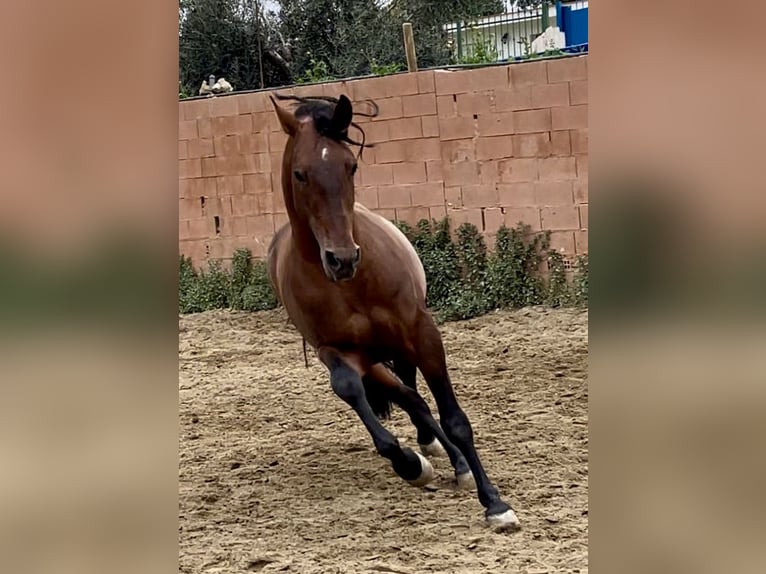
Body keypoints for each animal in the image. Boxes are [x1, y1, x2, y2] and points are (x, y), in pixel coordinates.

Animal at [266, 92, 519, 531]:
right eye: (300, 174)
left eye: (350, 166)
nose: (342, 259)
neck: (352, 286)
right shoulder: (336, 352)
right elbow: (356, 396)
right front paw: (410, 465)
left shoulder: (421, 332)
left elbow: (455, 419)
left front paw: (495, 503)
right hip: (374, 360)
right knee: (411, 399)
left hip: (400, 349)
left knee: (417, 398)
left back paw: (457, 464)